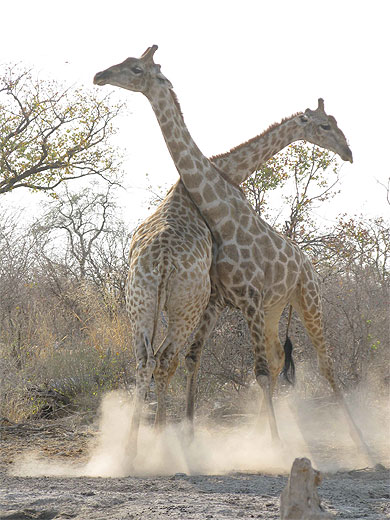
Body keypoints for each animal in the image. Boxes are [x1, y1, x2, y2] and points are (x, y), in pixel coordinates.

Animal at [93, 45, 370, 464]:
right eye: (325, 125)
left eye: (135, 67)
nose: (349, 152)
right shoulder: (226, 300)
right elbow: (220, 362)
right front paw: (199, 436)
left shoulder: (236, 299)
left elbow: (247, 368)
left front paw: (265, 445)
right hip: (196, 305)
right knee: (177, 360)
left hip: (294, 299)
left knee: (317, 363)